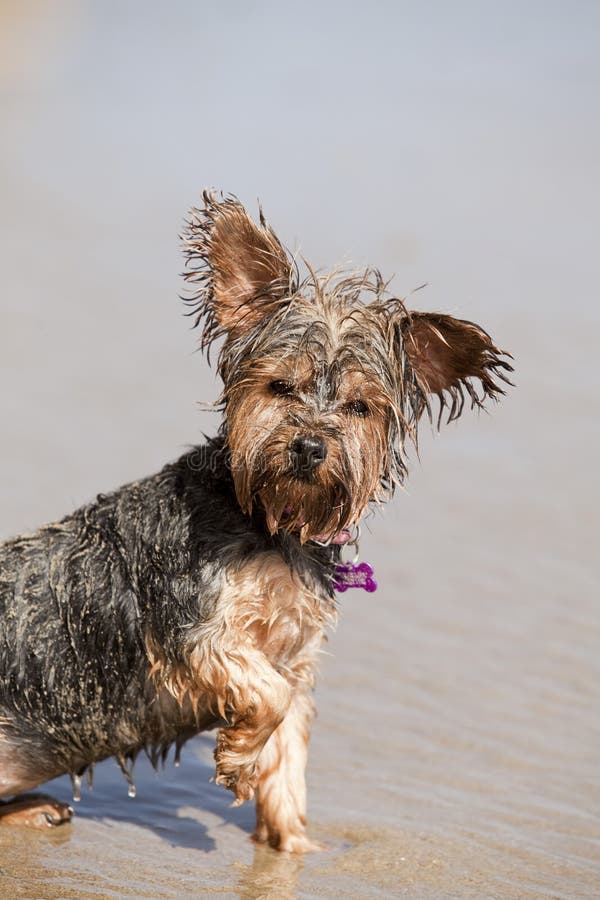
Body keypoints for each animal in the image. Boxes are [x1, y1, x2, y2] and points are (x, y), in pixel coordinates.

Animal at [0, 190, 510, 852]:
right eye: (281, 386)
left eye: (360, 406)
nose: (311, 446)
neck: (273, 526)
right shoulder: (194, 626)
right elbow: (268, 694)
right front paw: (239, 759)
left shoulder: (294, 652)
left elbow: (287, 749)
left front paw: (294, 846)